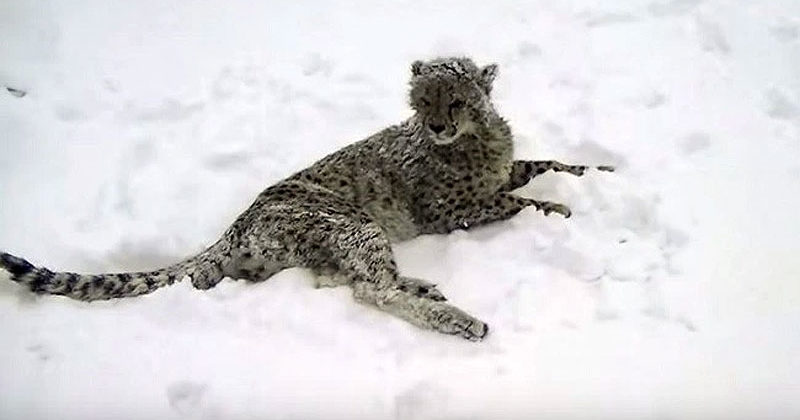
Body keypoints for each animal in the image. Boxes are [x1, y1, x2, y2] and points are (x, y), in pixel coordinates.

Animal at [1, 57, 612, 342]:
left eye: (456, 99)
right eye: (424, 100)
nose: (437, 124)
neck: (472, 138)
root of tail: (236, 225)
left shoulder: (501, 171)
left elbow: (546, 165)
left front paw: (600, 171)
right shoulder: (447, 214)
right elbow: (515, 203)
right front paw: (559, 209)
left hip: (330, 242)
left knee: (353, 281)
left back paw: (424, 286)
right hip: (352, 223)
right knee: (371, 290)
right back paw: (457, 319)